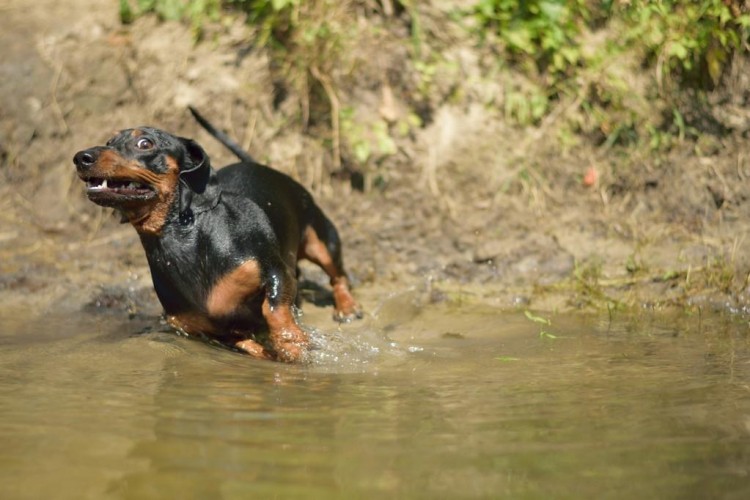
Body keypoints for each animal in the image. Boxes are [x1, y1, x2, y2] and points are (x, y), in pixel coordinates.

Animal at [72, 107, 362, 362]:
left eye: (145, 143)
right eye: (109, 141)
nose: (80, 157)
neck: (184, 238)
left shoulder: (275, 271)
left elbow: (273, 309)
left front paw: (291, 341)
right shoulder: (199, 328)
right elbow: (245, 343)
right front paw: (271, 351)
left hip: (321, 242)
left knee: (339, 276)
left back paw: (347, 307)